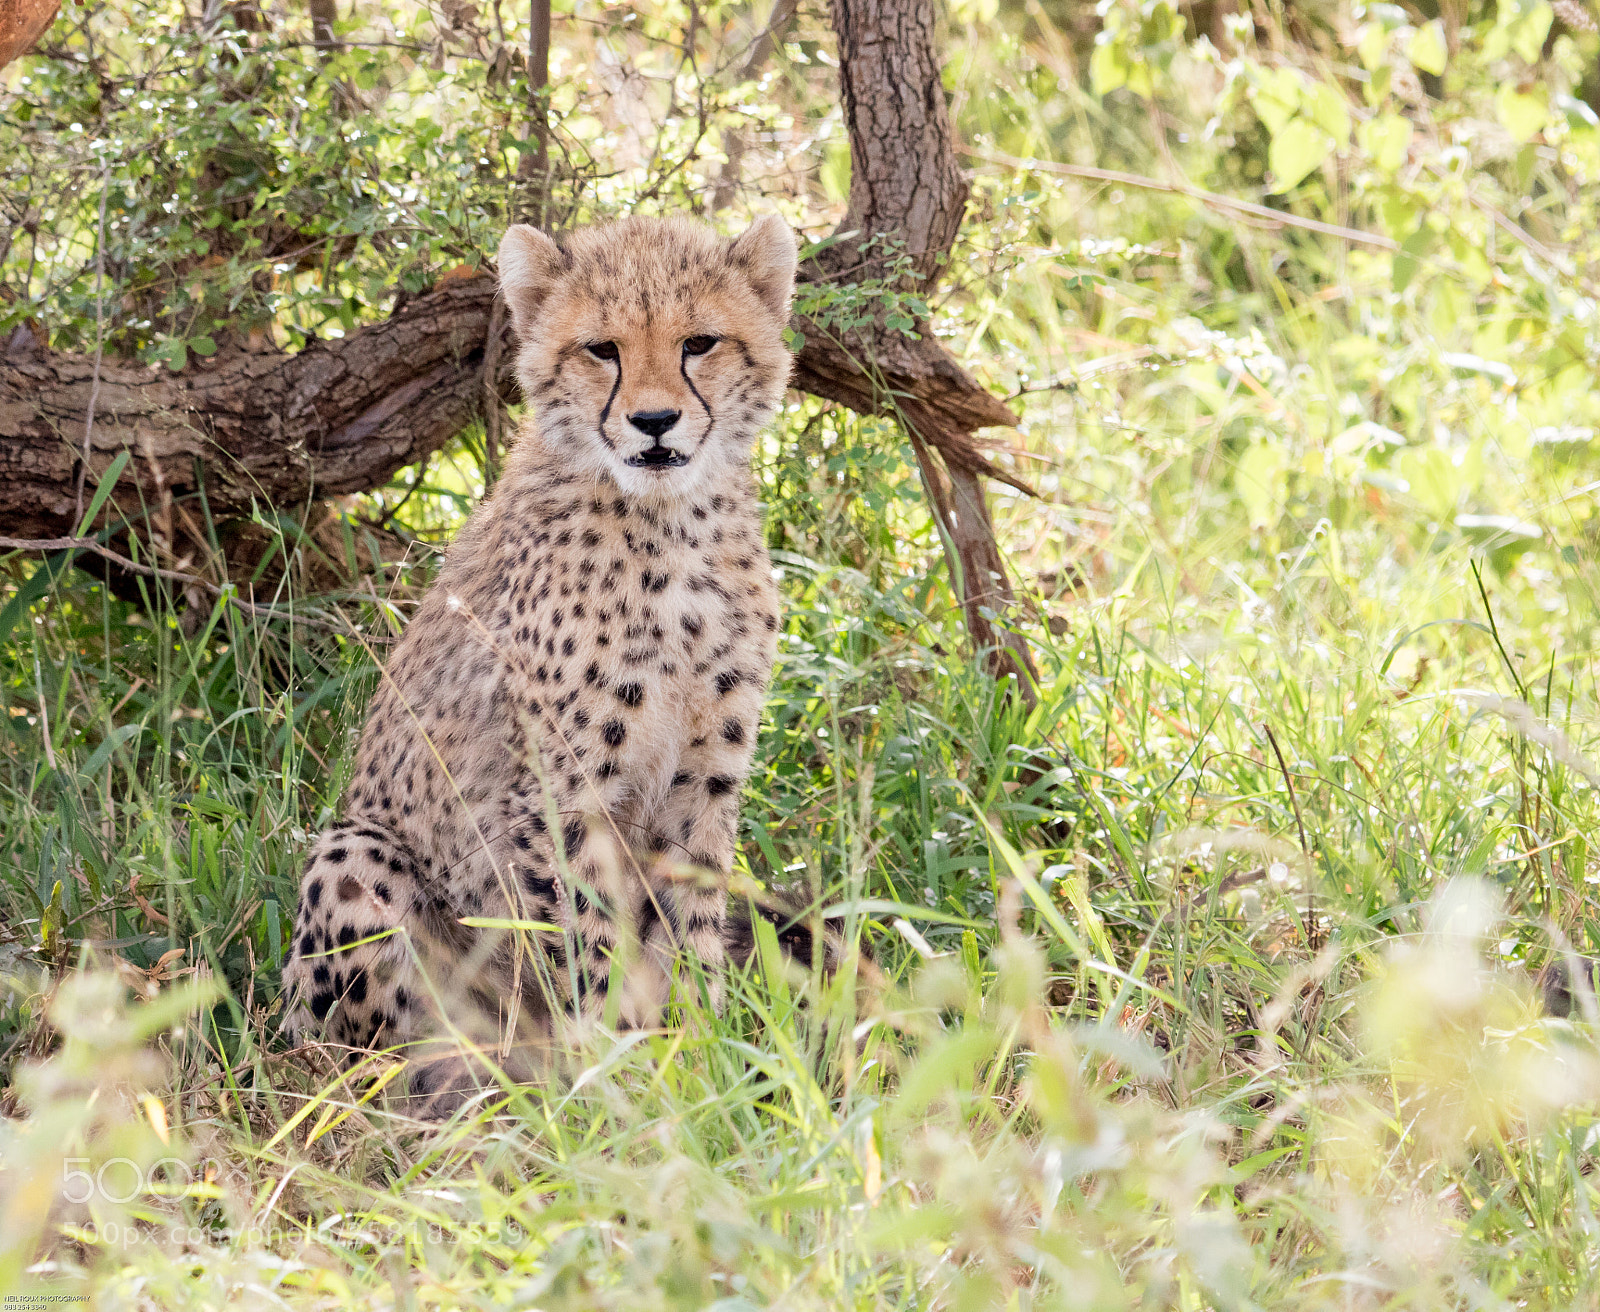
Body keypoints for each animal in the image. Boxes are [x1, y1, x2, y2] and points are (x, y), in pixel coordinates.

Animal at [280, 212, 800, 1112]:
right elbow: (586, 940)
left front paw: (705, 1061)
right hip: (354, 858)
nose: (654, 422)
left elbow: (689, 925)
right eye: (602, 349)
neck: (670, 525)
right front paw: (615, 1081)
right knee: (378, 1052)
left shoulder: (705, 776)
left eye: (700, 342)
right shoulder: (558, 790)